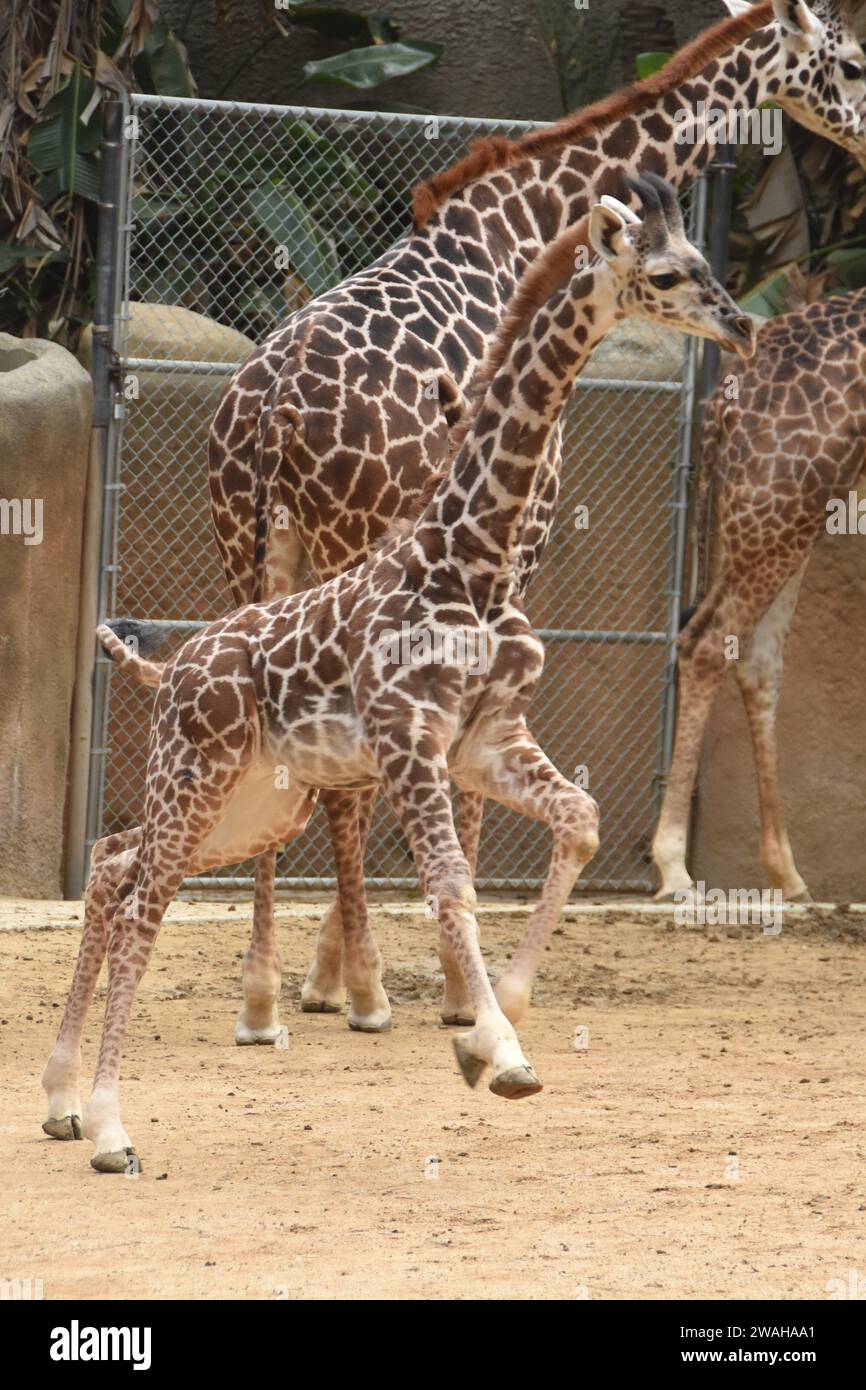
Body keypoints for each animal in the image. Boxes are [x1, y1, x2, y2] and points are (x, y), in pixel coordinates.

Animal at [44, 178, 755, 1172]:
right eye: (666, 275)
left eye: (701, 263)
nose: (743, 326)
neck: (471, 558)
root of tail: (170, 665)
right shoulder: (410, 740)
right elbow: (451, 881)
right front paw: (498, 1049)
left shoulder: (486, 739)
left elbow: (578, 819)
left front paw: (498, 1022)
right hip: (196, 774)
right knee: (141, 895)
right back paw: (111, 1127)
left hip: (257, 804)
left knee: (113, 864)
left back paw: (61, 1102)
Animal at [652, 286, 866, 902]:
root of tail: (727, 399)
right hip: (783, 497)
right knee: (709, 642)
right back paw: (675, 868)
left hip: (790, 503)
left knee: (756, 659)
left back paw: (788, 875)